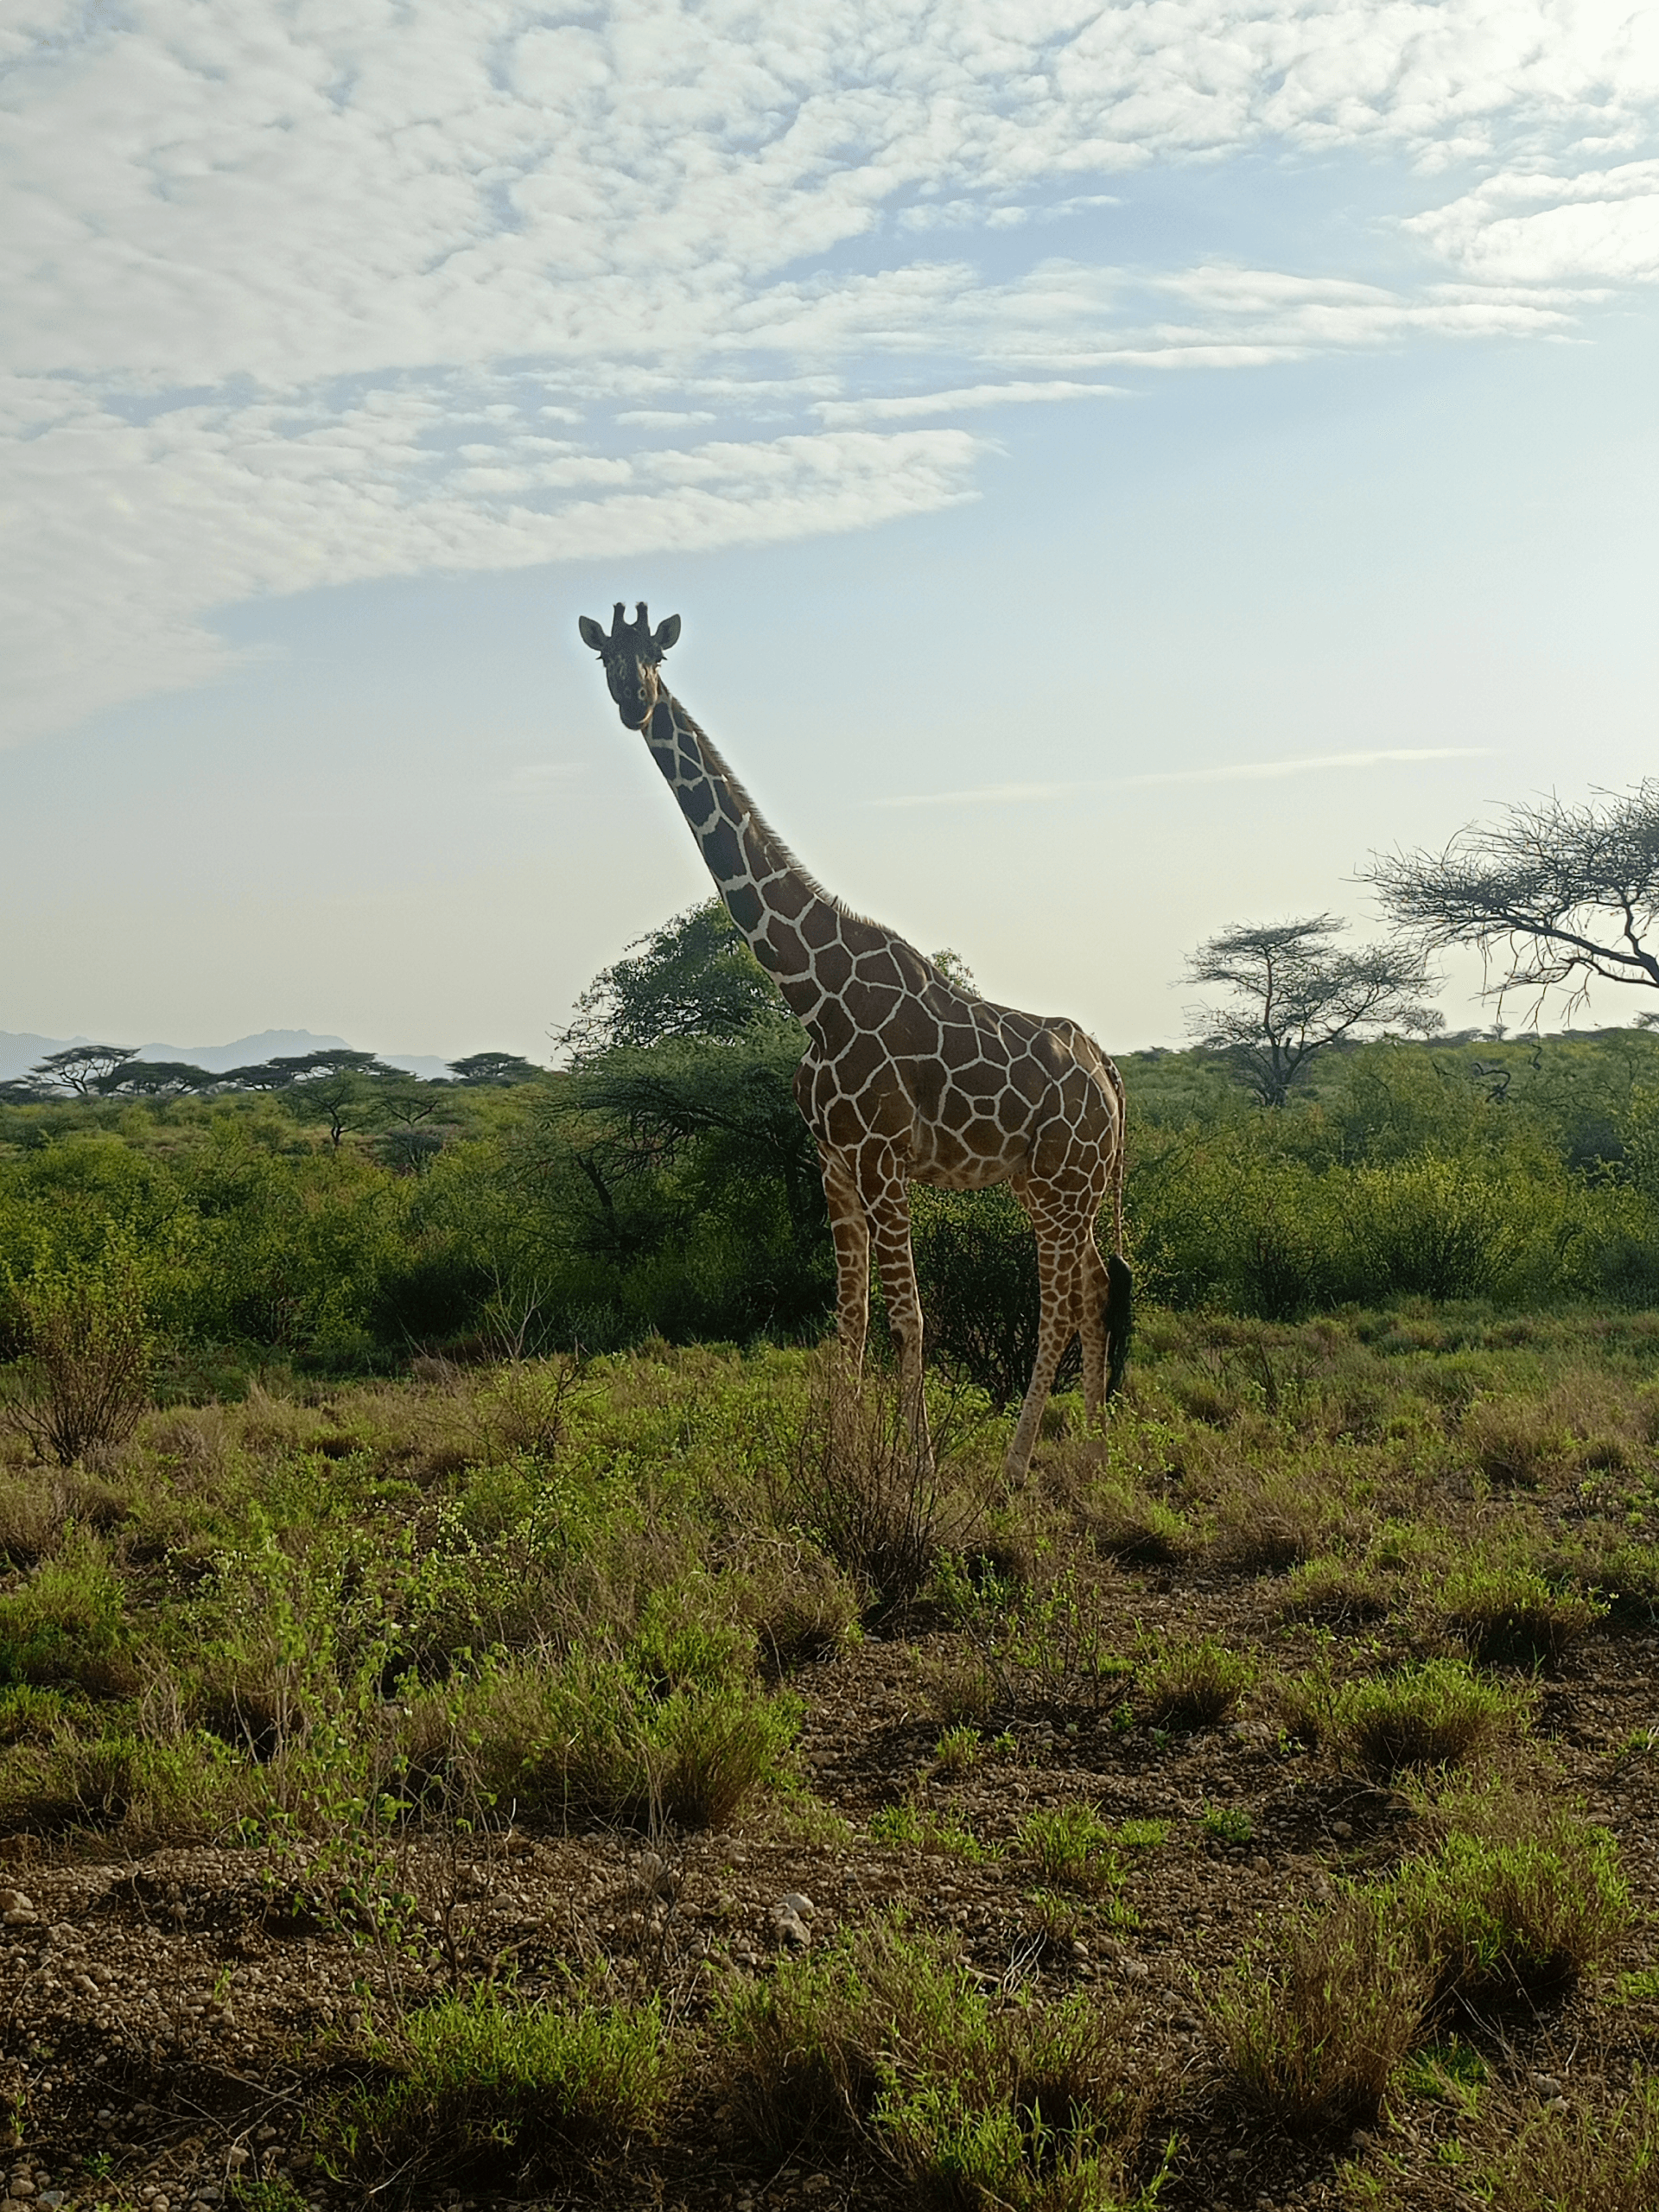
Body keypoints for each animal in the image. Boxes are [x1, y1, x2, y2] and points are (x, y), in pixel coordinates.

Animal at [577, 602, 1130, 1477]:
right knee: (1098, 1293)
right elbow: (851, 1319)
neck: (811, 994)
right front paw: (838, 1458)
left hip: (1063, 1185)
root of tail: (1110, 1074)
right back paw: (1093, 1455)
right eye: (607, 658)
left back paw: (1014, 1467)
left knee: (1061, 1307)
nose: (634, 703)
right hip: (1049, 1183)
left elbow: (909, 1318)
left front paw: (917, 1465)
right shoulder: (833, 1165)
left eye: (656, 657)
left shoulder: (883, 1159)